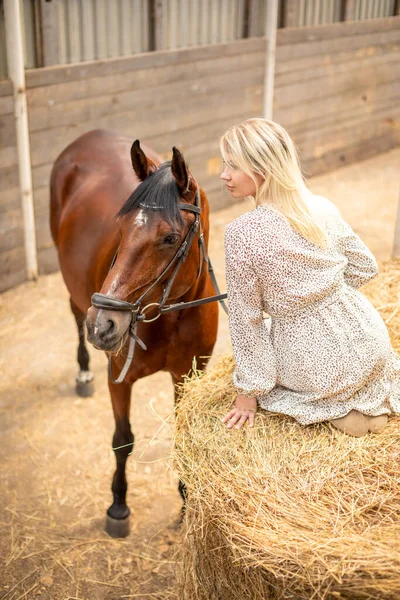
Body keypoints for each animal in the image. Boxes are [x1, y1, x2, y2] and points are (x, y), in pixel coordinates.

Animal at [50, 129, 219, 536]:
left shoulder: (188, 376)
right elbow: (122, 440)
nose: (104, 324)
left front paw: (186, 506)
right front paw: (118, 506)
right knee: (74, 314)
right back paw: (82, 373)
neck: (168, 316)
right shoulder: (119, 378)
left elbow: (184, 437)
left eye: (170, 238)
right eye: (121, 230)